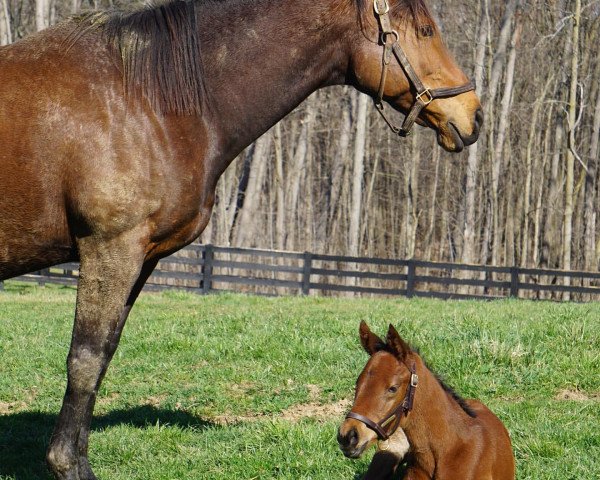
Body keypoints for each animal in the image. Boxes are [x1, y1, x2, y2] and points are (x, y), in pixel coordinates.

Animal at [0, 0, 478, 480]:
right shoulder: (110, 248)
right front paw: (66, 464)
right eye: (425, 30)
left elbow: (104, 356)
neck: (147, 100)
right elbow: (86, 359)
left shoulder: (140, 257)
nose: (472, 114)